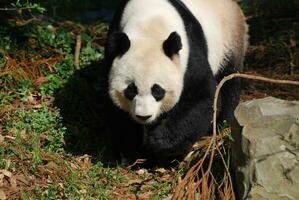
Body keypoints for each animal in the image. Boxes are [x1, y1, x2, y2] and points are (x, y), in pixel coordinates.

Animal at [103, 0, 248, 160]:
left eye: (157, 90)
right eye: (131, 90)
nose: (144, 116)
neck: (150, 23)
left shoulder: (190, 55)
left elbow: (202, 97)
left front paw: (159, 143)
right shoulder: (111, 52)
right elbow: (116, 110)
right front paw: (132, 150)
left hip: (230, 42)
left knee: (228, 82)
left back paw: (222, 123)